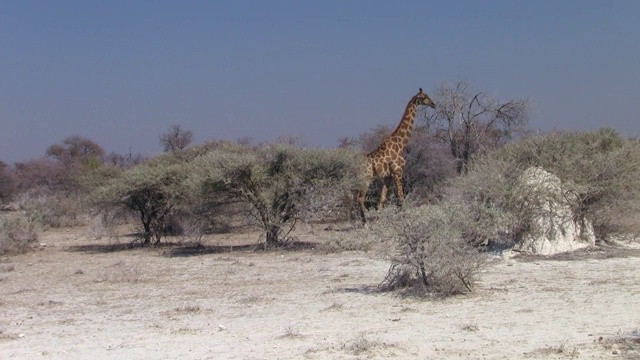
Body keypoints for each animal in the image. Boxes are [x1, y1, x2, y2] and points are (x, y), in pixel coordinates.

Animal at [352, 88, 438, 222]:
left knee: (351, 198)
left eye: (428, 96)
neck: (400, 144)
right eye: (424, 97)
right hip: (366, 179)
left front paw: (379, 220)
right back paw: (365, 223)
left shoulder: (388, 176)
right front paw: (405, 217)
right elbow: (400, 197)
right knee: (360, 199)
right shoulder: (398, 172)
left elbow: (382, 200)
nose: (433, 104)